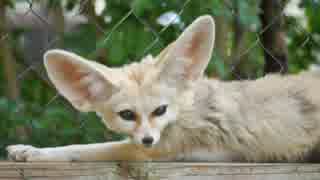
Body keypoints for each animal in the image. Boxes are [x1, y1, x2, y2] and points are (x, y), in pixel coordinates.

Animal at [6, 15, 320, 162]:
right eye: (127, 115)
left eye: (160, 110)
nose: (147, 139)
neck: (187, 108)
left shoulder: (161, 150)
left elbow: (83, 149)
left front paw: (34, 152)